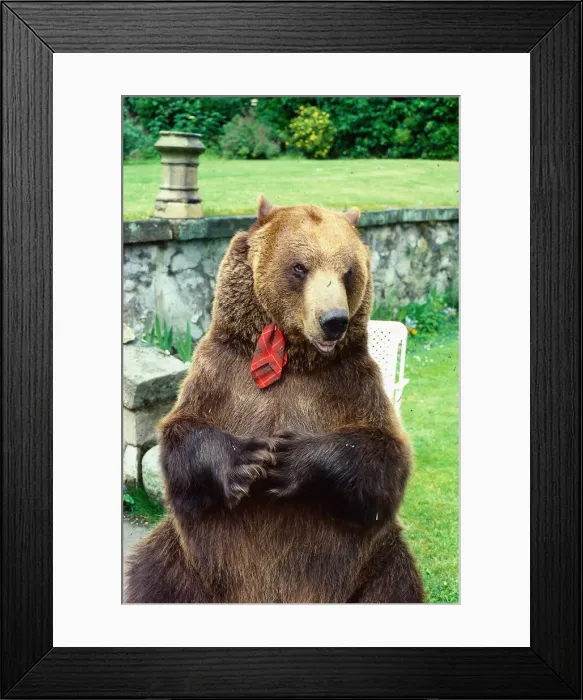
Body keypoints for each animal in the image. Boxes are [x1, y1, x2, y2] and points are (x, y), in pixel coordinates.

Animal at [125, 196, 424, 604]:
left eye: (348, 271)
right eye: (300, 267)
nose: (334, 320)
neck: (293, 359)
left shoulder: (353, 383)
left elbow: (383, 459)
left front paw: (289, 459)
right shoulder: (220, 371)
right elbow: (182, 438)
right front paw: (247, 458)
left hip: (375, 565)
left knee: (397, 583)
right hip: (186, 564)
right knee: (150, 574)